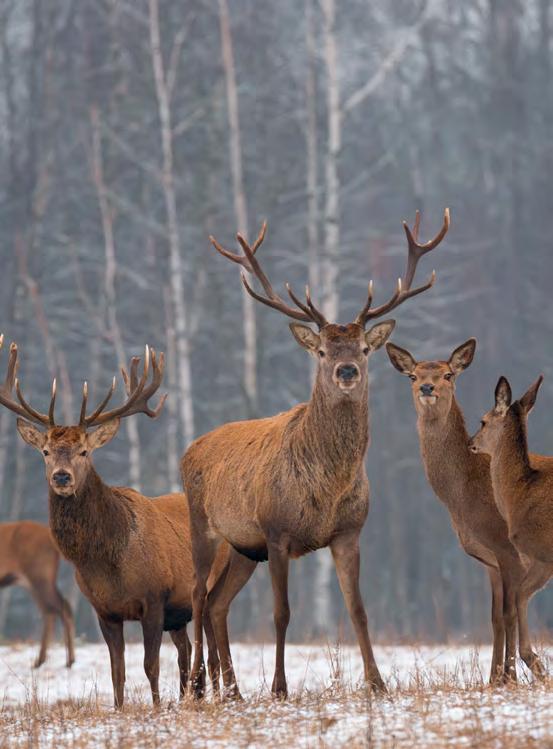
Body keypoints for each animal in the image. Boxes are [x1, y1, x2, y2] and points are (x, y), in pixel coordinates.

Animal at [0, 520, 74, 668]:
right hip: (32, 581)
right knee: (50, 611)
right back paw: (41, 660)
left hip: (40, 574)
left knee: (62, 607)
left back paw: (69, 660)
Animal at [183, 207, 450, 700]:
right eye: (323, 350)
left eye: (363, 348)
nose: (346, 370)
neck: (326, 488)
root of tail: (191, 448)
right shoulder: (276, 531)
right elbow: (281, 613)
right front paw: (279, 687)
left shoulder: (348, 532)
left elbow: (358, 609)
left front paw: (377, 683)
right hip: (203, 525)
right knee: (196, 594)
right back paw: (194, 686)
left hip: (242, 547)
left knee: (216, 604)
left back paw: (231, 690)